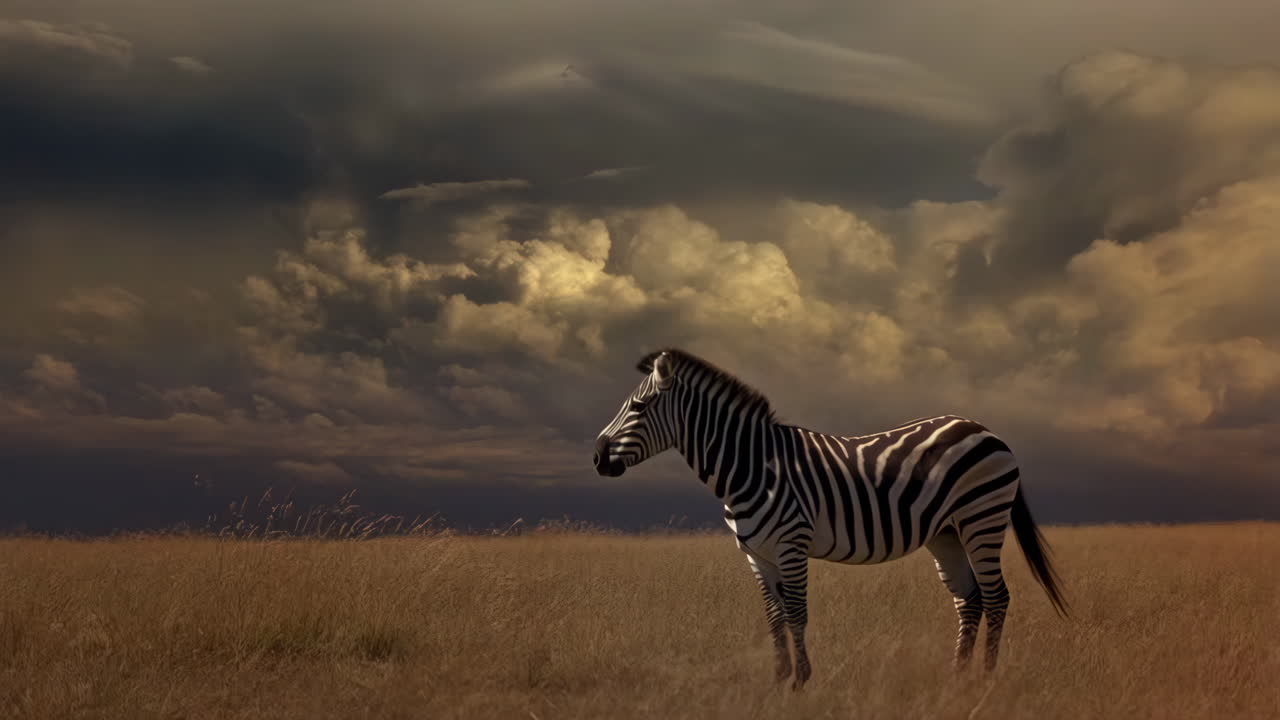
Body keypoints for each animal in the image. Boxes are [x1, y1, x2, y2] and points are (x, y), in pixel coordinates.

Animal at [593, 348, 1068, 689]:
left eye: (639, 406)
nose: (596, 458)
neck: (753, 466)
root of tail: (985, 429)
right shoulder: (756, 555)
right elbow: (774, 618)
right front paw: (778, 682)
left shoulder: (791, 544)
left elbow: (797, 614)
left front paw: (802, 684)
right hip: (946, 534)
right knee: (969, 599)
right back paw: (957, 678)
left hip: (981, 517)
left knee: (996, 597)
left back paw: (986, 678)